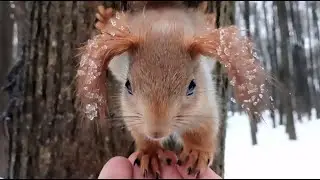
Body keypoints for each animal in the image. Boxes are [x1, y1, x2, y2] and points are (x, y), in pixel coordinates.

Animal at [76, 0, 274, 179]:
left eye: (192, 86)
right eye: (128, 85)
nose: (156, 132)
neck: (165, 30)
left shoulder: (205, 106)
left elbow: (204, 130)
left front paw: (197, 153)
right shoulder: (131, 113)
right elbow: (140, 133)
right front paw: (150, 153)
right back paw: (105, 18)